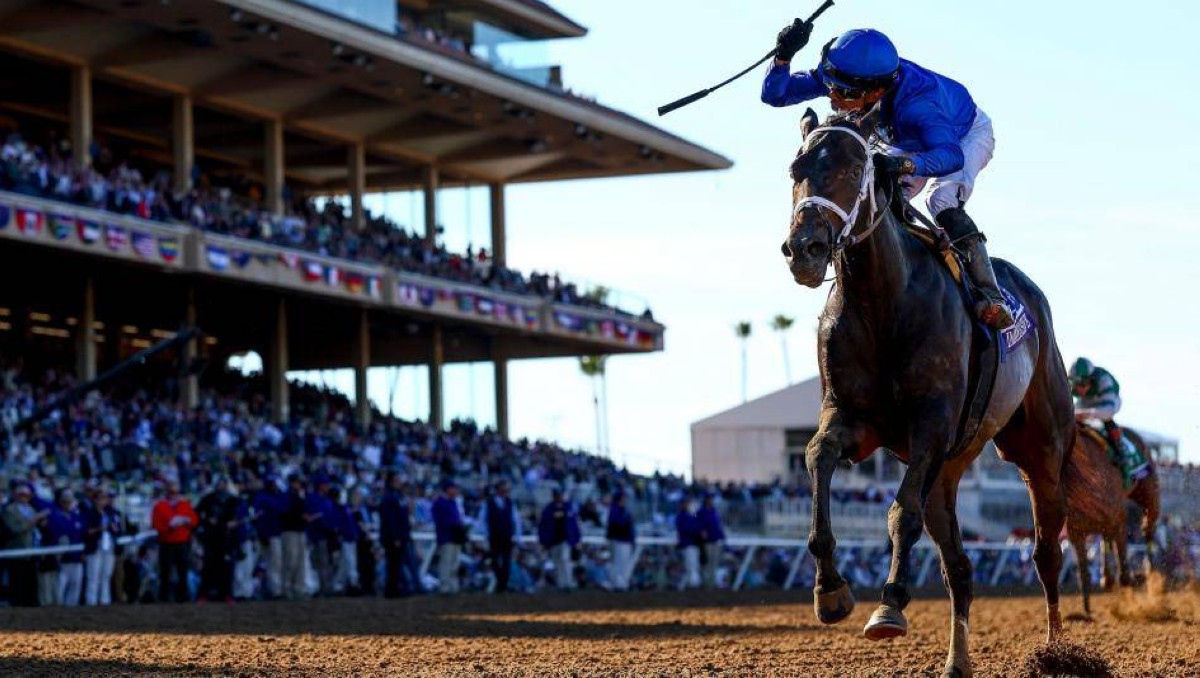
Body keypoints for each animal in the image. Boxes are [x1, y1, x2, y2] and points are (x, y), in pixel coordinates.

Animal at [782, 108, 1075, 672]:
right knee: (958, 567)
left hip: (1040, 451)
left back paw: (1056, 651)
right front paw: (830, 591)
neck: (883, 303)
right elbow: (816, 455)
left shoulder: (931, 427)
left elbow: (901, 512)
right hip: (950, 470)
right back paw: (957, 662)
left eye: (853, 169)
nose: (804, 250)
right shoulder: (852, 419)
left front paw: (889, 606)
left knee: (1047, 552)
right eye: (795, 170)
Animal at [1070, 424, 1161, 614]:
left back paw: (1150, 572)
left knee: (1148, 528)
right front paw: (1087, 611)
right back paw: (1107, 578)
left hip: (1150, 495)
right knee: (1106, 540)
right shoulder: (1076, 532)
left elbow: (1124, 574)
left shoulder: (1119, 522)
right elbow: (1083, 574)